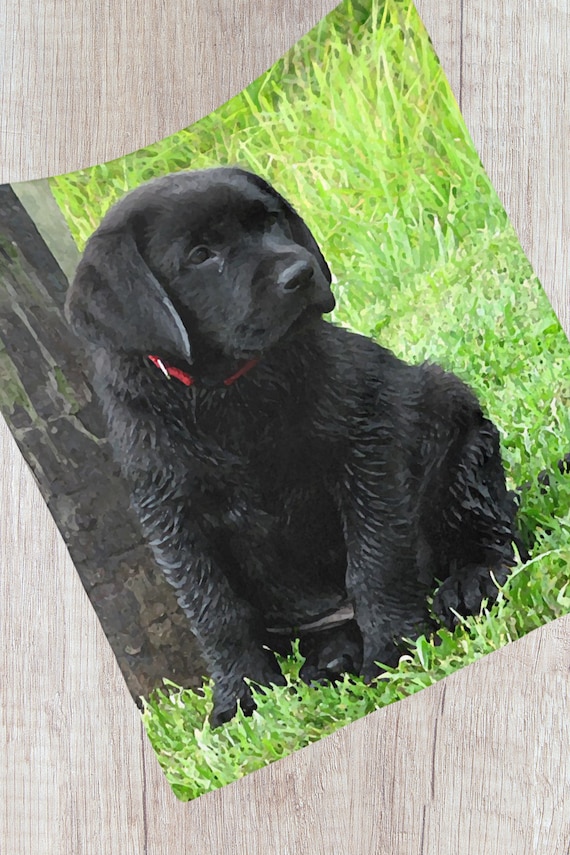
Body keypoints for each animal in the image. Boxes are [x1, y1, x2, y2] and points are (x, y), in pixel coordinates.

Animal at [66, 167, 519, 725]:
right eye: (200, 254)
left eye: (270, 221)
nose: (301, 274)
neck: (228, 392)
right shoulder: (172, 517)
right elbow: (216, 611)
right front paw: (239, 700)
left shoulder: (369, 442)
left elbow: (375, 561)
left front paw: (394, 648)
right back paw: (332, 659)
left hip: (454, 421)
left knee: (494, 522)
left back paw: (473, 580)